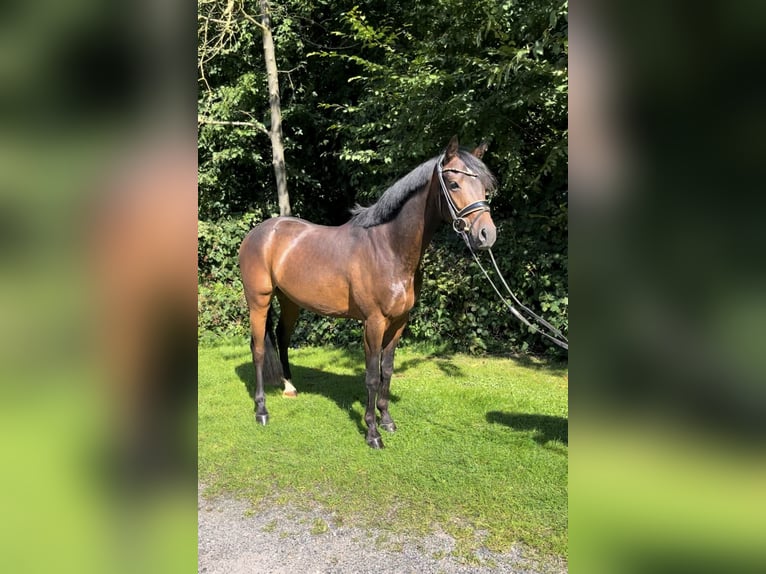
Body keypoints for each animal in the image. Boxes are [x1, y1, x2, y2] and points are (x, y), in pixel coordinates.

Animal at [243, 136, 500, 450]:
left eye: (485, 187)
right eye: (453, 184)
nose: (486, 235)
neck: (388, 248)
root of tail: (260, 232)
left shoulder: (399, 322)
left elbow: (387, 370)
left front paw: (387, 421)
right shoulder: (374, 323)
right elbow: (372, 377)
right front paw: (372, 432)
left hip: (290, 301)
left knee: (281, 336)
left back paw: (290, 388)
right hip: (258, 300)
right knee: (257, 349)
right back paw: (261, 410)